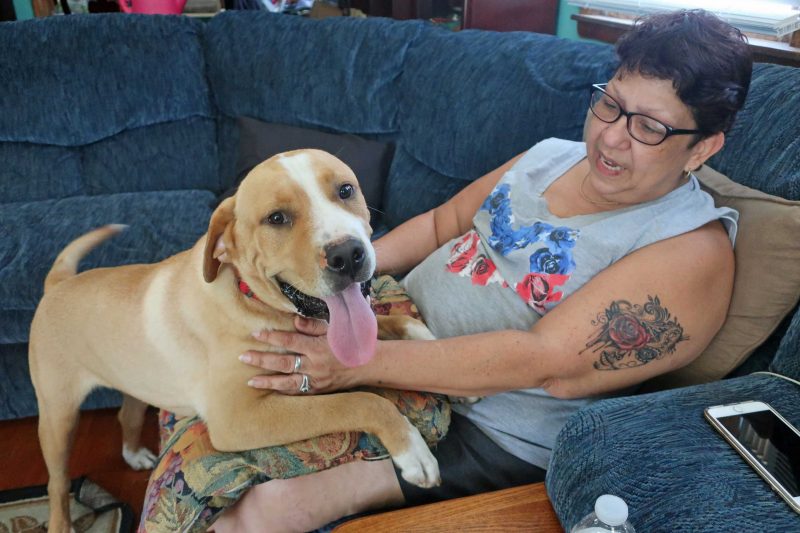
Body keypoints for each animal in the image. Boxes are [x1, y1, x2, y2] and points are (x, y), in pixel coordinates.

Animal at [28, 149, 440, 532]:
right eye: (277, 218)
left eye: (345, 190)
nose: (347, 255)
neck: (249, 296)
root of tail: (58, 283)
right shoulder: (238, 419)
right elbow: (360, 401)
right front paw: (411, 447)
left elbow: (391, 322)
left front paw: (424, 338)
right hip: (57, 416)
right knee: (56, 481)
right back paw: (61, 521)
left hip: (134, 377)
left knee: (126, 413)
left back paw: (134, 454)